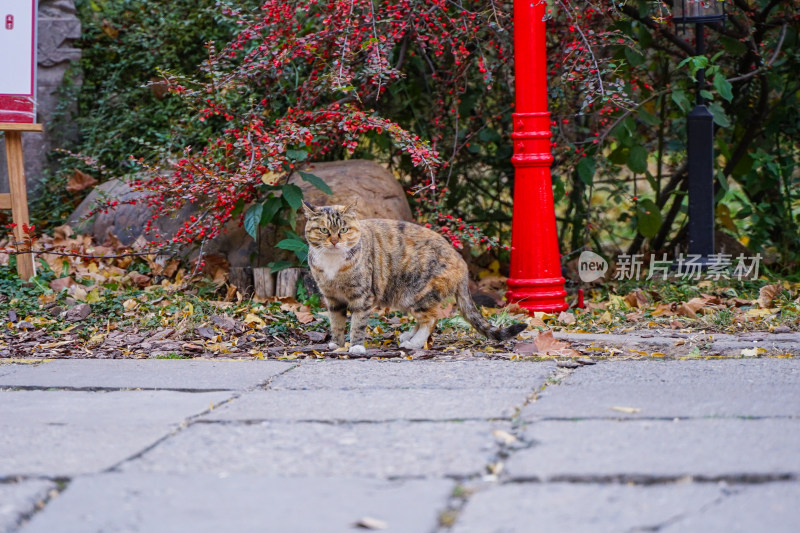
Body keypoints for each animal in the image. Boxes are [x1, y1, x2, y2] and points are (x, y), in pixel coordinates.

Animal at [300, 201, 524, 354]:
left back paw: (414, 343)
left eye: (344, 230)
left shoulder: (362, 296)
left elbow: (357, 323)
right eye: (324, 230)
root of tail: (461, 262)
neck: (333, 262)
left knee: (431, 318)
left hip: (417, 292)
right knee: (424, 318)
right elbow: (336, 322)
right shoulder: (332, 298)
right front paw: (337, 345)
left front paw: (355, 346)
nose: (334, 241)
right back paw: (409, 336)